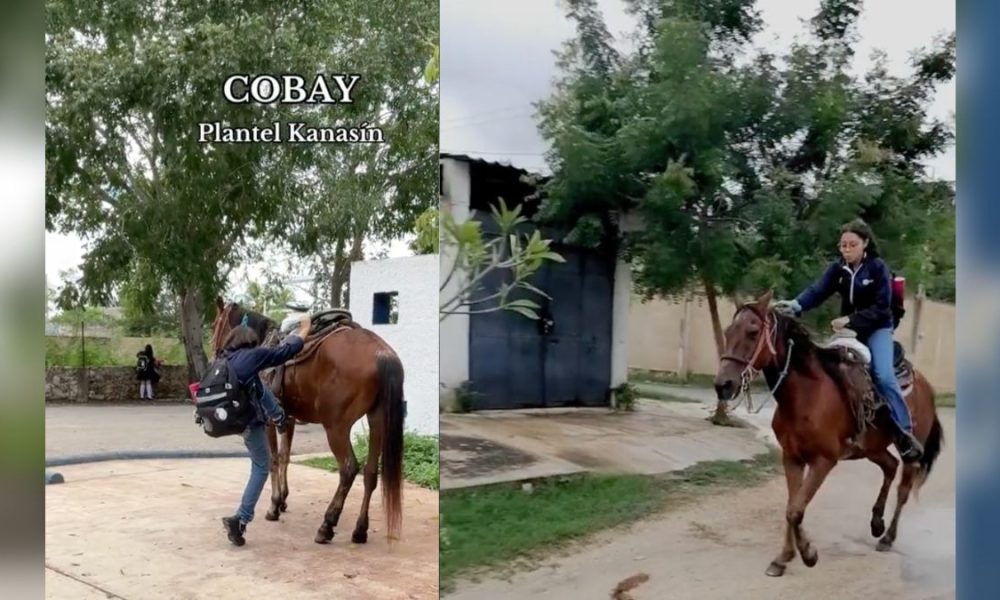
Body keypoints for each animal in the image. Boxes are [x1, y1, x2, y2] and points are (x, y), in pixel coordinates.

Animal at [209, 298, 404, 548]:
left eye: (215, 323)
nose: (215, 353)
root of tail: (381, 354)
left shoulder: (269, 421)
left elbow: (273, 460)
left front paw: (274, 506)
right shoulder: (288, 418)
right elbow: (285, 457)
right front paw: (283, 500)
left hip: (336, 427)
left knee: (349, 468)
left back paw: (327, 525)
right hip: (376, 419)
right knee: (370, 473)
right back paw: (360, 530)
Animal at [716, 290, 940, 576]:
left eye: (753, 332)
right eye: (728, 331)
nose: (723, 385)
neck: (806, 394)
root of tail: (926, 385)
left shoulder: (824, 461)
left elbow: (796, 509)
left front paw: (808, 554)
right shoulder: (792, 458)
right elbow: (792, 505)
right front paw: (784, 557)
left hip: (910, 450)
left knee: (903, 488)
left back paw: (887, 537)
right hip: (871, 447)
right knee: (889, 466)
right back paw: (876, 522)